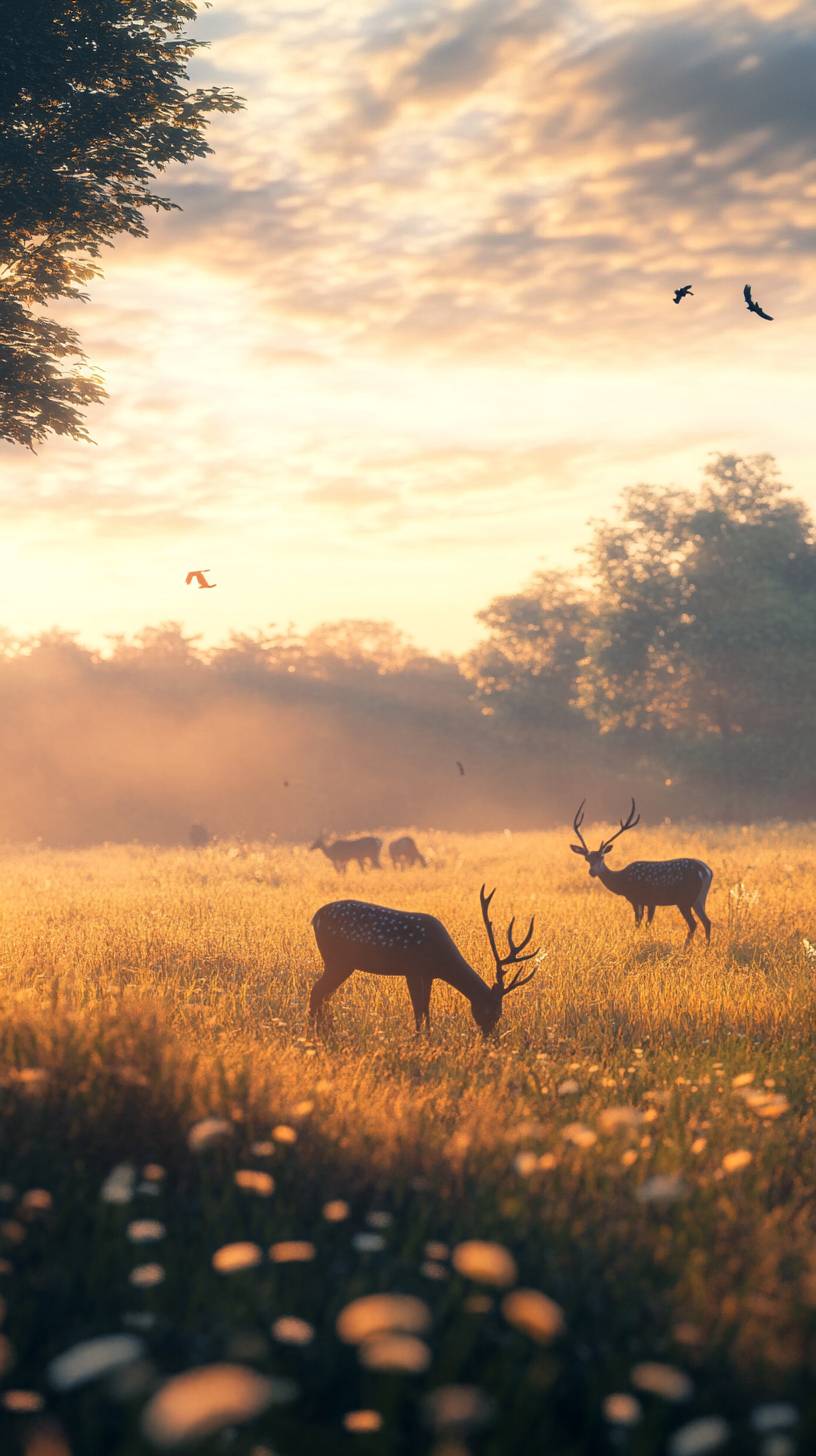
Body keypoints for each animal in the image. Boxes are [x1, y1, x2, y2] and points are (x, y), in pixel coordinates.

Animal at [308, 885, 539, 1036]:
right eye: (493, 1011)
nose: (490, 1038)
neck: (441, 960)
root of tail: (315, 918)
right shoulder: (413, 969)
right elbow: (418, 1008)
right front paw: (419, 1039)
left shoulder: (428, 974)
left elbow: (425, 1006)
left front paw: (427, 1037)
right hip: (339, 960)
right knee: (318, 991)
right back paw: (315, 1033)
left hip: (339, 963)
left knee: (324, 994)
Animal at [571, 797, 711, 943]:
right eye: (587, 858)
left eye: (602, 857)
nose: (592, 872)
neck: (622, 882)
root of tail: (706, 871)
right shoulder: (649, 902)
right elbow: (646, 924)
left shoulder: (639, 898)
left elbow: (639, 923)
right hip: (699, 899)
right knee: (707, 922)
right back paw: (706, 946)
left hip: (684, 899)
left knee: (693, 923)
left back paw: (687, 946)